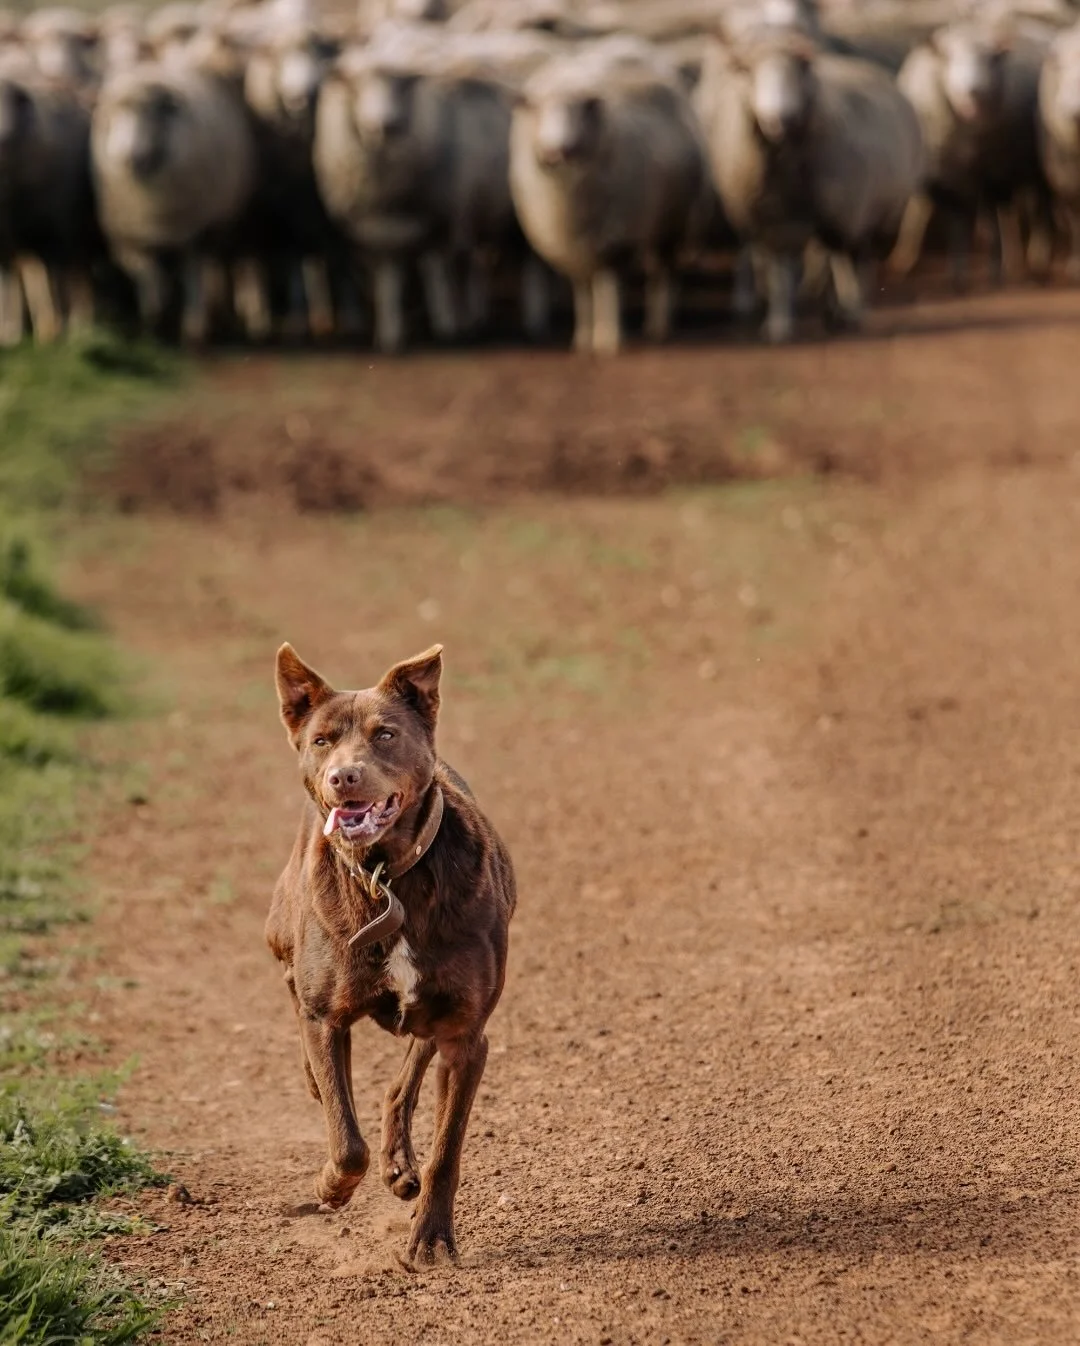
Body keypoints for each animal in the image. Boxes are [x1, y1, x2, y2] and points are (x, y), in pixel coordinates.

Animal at [91, 60, 257, 343]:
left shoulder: (193, 234)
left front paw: (194, 328)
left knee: (215, 271)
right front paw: (154, 323)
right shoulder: (134, 239)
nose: (130, 158)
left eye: (157, 114)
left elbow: (192, 280)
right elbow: (148, 283)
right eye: (118, 116)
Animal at [313, 40, 520, 352]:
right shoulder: (374, 229)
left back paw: (472, 317)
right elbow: (388, 277)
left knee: (472, 264)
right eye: (358, 84)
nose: (387, 125)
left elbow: (438, 271)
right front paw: (389, 336)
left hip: (481, 214)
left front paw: (447, 326)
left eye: (404, 85)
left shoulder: (441, 219)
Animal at [509, 37, 710, 354]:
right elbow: (583, 293)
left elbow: (608, 288)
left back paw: (659, 325)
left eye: (579, 110)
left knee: (662, 274)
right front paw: (582, 337)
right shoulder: (572, 248)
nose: (556, 150)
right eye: (538, 108)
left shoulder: (615, 241)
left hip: (671, 223)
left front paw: (608, 339)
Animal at [695, 31, 923, 342]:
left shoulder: (846, 210)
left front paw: (848, 310)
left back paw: (853, 308)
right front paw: (778, 324)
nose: (777, 118)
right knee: (832, 258)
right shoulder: (769, 220)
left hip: (874, 211)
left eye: (797, 71)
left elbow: (844, 263)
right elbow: (779, 271)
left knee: (857, 258)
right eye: (750, 72)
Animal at [893, 20, 1053, 287]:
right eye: (948, 56)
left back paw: (1031, 258)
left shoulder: (994, 168)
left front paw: (992, 267)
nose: (973, 91)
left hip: (1026, 167)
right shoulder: (942, 167)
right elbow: (928, 210)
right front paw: (911, 261)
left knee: (1032, 207)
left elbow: (993, 215)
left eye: (992, 58)